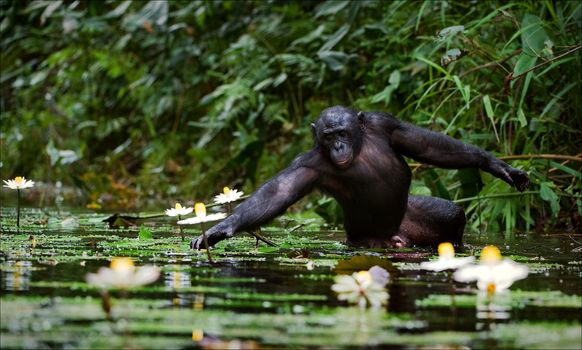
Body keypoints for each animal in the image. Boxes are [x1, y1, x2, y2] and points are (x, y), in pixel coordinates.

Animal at [190, 106, 528, 249]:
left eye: (342, 132)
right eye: (328, 136)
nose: (338, 146)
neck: (360, 147)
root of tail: (398, 235)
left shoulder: (386, 124)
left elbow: (427, 146)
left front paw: (497, 166)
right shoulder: (308, 164)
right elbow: (278, 192)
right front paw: (221, 229)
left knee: (451, 212)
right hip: (365, 242)